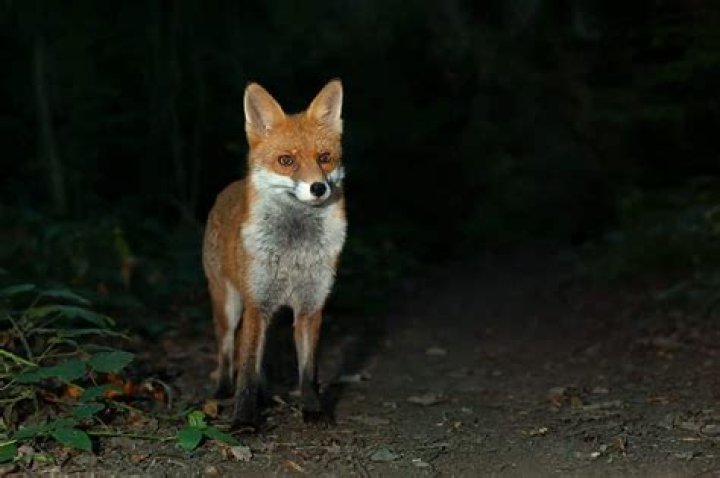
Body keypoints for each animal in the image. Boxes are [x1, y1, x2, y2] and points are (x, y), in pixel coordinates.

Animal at [202, 80, 346, 426]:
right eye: (286, 161)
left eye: (324, 157)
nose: (318, 188)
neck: (294, 249)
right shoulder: (257, 303)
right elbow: (246, 372)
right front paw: (243, 419)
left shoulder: (311, 305)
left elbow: (307, 372)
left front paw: (313, 410)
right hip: (229, 305)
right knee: (227, 350)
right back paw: (222, 391)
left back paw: (266, 396)